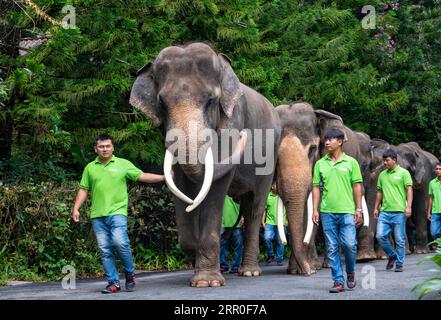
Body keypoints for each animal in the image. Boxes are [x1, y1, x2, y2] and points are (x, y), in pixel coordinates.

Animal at [129, 42, 280, 288]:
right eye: (162, 103)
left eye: (211, 100)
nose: (245, 137)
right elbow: (181, 186)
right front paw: (195, 260)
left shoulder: (233, 122)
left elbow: (215, 188)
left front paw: (207, 282)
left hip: (270, 159)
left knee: (255, 207)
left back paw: (249, 272)